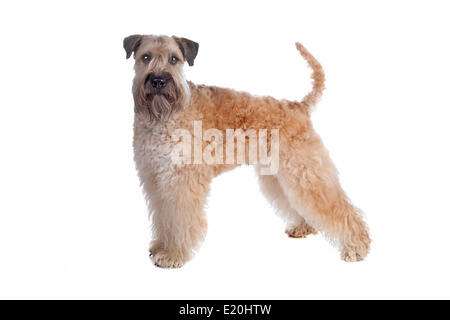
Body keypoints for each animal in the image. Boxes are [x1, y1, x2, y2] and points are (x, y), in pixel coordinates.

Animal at [122, 34, 370, 268]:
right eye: (146, 56)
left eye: (174, 59)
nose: (158, 81)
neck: (164, 117)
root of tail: (300, 106)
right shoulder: (155, 178)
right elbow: (163, 218)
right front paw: (160, 247)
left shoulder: (181, 181)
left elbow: (179, 220)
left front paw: (173, 256)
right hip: (282, 176)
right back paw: (303, 228)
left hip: (307, 173)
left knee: (341, 208)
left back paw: (357, 248)